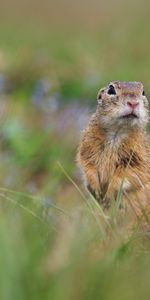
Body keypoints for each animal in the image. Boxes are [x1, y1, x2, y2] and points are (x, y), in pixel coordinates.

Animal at [77, 81, 150, 218]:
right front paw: (97, 189)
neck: (118, 131)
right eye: (111, 90)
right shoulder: (87, 146)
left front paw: (109, 192)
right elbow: (88, 165)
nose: (133, 103)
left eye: (143, 92)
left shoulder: (139, 156)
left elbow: (131, 172)